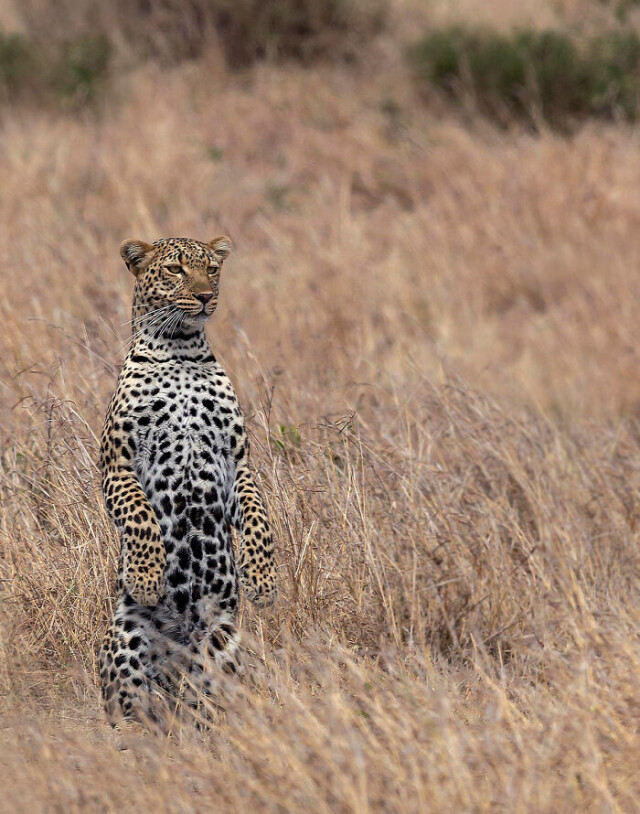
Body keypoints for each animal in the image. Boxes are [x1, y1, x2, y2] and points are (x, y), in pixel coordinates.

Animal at [99, 234, 276, 728]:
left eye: (212, 269)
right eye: (176, 269)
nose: (204, 296)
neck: (180, 350)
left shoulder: (237, 462)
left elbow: (259, 517)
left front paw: (262, 579)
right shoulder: (117, 463)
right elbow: (139, 515)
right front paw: (144, 577)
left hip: (223, 644)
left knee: (211, 700)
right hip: (126, 640)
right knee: (130, 706)